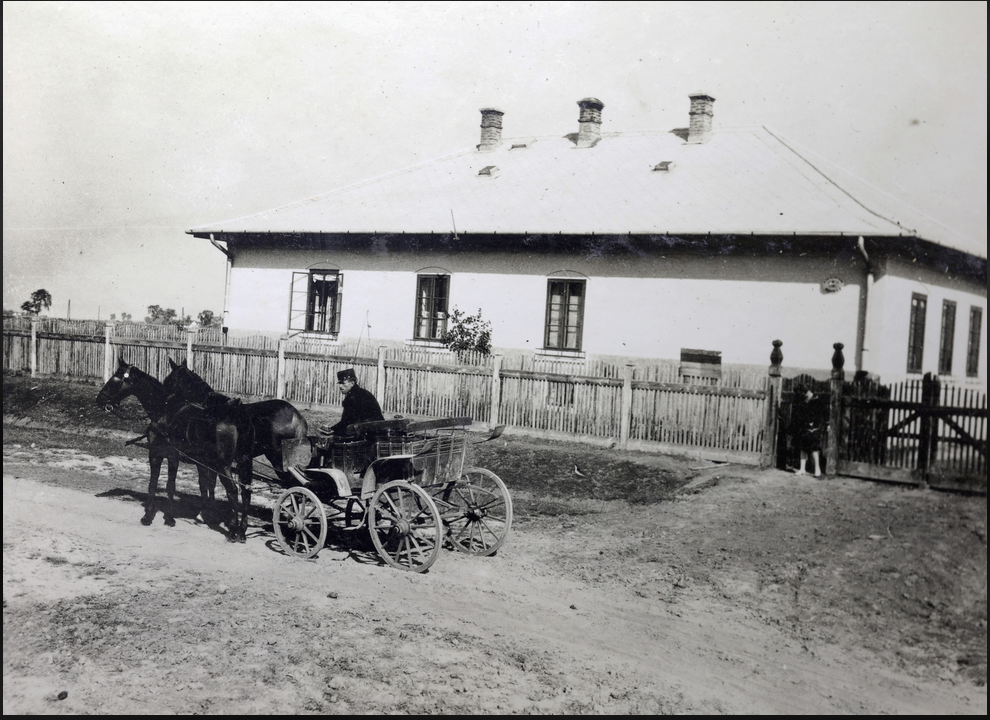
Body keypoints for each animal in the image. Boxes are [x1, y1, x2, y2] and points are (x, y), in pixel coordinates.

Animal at [96, 358, 256, 544]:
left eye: (115, 380)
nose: (99, 400)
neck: (165, 411)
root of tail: (237, 417)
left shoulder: (156, 453)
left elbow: (154, 482)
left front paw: (148, 515)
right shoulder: (177, 457)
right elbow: (172, 485)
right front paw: (170, 518)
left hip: (223, 464)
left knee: (233, 491)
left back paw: (233, 531)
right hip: (244, 462)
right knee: (246, 491)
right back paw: (242, 531)